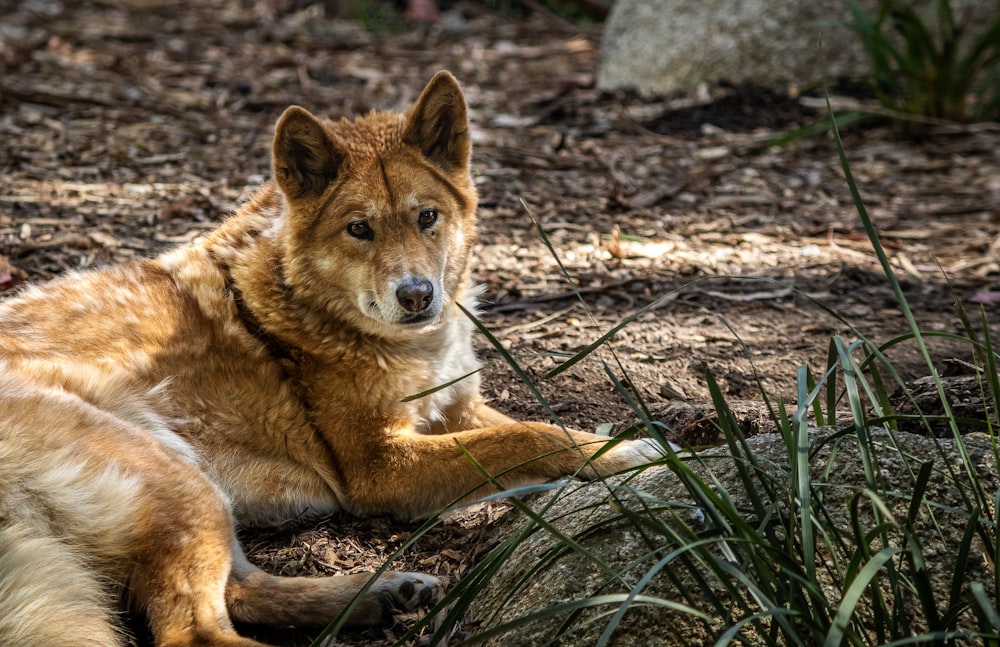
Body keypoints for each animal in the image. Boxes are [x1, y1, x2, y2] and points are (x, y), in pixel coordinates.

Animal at [0, 72, 664, 647]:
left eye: (427, 216)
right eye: (358, 229)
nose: (417, 294)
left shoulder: (456, 409)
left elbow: (541, 425)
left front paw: (621, 442)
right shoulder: (380, 466)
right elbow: (531, 437)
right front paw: (629, 453)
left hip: (194, 487)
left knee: (238, 592)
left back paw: (379, 593)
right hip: (169, 473)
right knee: (195, 633)